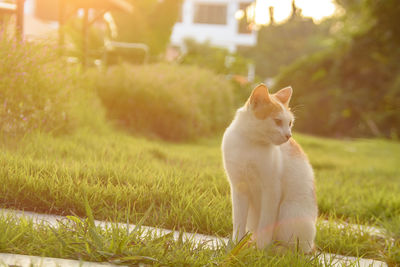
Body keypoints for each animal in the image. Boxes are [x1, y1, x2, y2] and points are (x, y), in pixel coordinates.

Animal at [220, 84, 318, 253]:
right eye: (277, 121)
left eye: (289, 123)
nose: (289, 135)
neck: (250, 144)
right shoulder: (239, 189)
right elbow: (238, 221)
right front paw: (236, 245)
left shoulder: (271, 190)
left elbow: (266, 222)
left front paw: (260, 249)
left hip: (288, 211)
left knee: (296, 250)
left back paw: (274, 249)